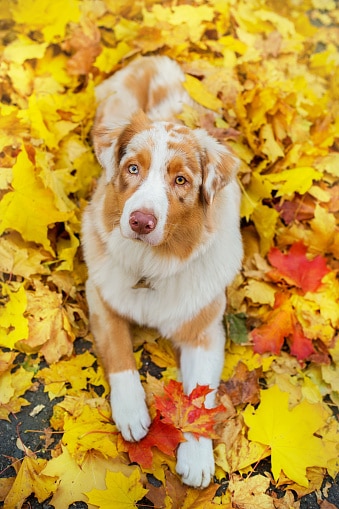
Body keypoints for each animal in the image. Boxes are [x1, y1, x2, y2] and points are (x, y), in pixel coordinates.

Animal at [81, 53, 242, 486]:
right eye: (133, 169)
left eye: (181, 180)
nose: (139, 221)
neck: (151, 267)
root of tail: (157, 59)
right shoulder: (100, 294)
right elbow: (120, 353)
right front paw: (132, 412)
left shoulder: (205, 329)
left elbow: (199, 394)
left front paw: (198, 456)